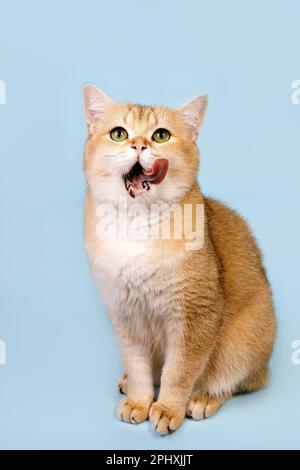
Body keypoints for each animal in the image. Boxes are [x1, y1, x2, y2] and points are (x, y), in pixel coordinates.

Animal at [83, 83, 276, 434]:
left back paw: (202, 398)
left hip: (241, 342)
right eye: (119, 134)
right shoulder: (124, 313)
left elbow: (180, 369)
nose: (139, 144)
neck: (136, 228)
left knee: (233, 381)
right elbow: (139, 365)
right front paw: (139, 399)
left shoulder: (194, 315)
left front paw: (168, 408)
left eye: (161, 135)